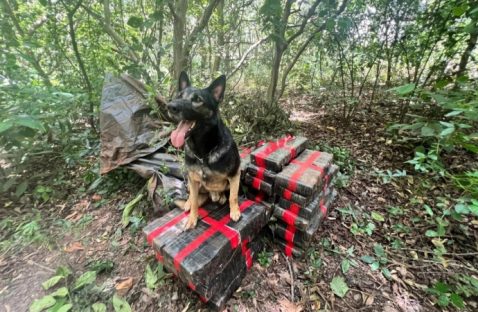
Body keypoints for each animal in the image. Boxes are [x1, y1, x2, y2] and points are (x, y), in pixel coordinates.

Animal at [169, 72, 243, 229]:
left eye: (198, 99)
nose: (170, 106)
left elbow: (233, 196)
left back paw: (221, 197)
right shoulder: (193, 179)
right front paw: (192, 218)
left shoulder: (235, 175)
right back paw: (188, 203)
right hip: (191, 182)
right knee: (192, 196)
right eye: (179, 96)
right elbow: (195, 202)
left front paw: (234, 211)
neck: (203, 153)